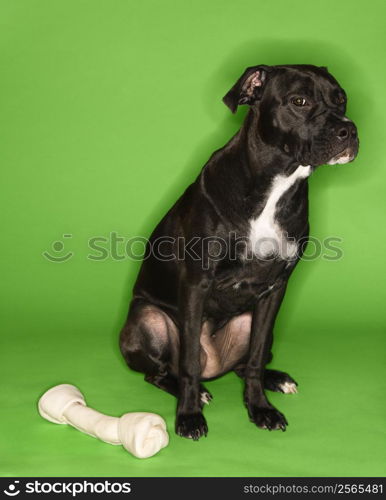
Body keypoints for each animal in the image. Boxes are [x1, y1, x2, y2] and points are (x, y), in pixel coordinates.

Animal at [120, 64, 358, 440]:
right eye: (299, 101)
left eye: (341, 98)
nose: (348, 129)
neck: (276, 184)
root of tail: (216, 364)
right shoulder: (197, 283)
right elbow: (188, 361)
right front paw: (189, 416)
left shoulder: (276, 289)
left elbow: (257, 358)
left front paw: (260, 408)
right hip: (147, 320)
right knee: (160, 371)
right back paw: (194, 390)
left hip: (257, 324)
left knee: (246, 365)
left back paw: (275, 379)